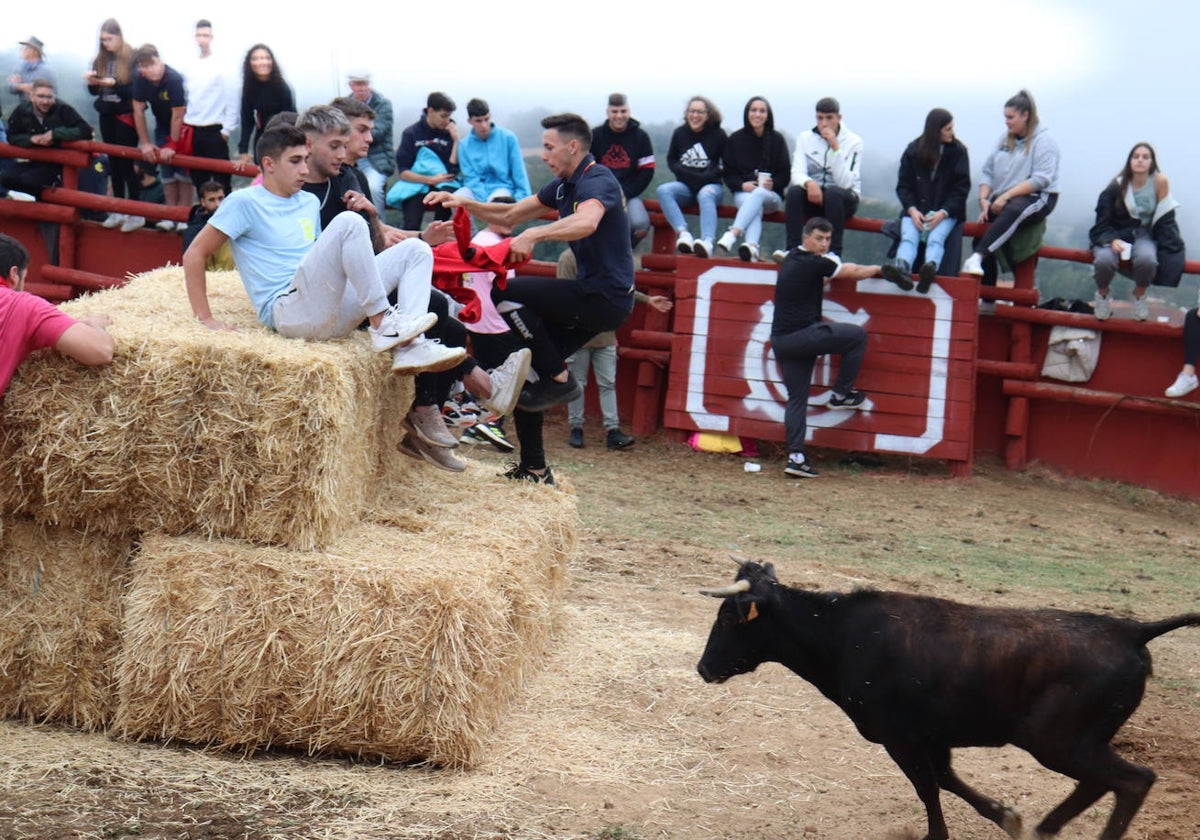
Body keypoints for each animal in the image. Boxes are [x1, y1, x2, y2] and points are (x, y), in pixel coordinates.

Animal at [700, 556, 1195, 840]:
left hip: (1057, 742)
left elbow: (928, 786)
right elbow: (946, 779)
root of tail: (1130, 630)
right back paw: (1043, 828)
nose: (703, 668)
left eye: (727, 618)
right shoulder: (931, 736)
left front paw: (938, 835)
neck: (840, 635)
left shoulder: (899, 738)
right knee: (1099, 783)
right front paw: (1006, 816)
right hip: (1073, 744)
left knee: (1133, 780)